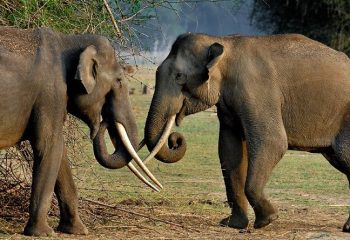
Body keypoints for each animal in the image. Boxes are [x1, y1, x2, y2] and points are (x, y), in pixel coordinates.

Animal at [0, 27, 161, 236]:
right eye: (118, 81)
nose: (104, 120)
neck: (69, 40)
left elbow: (60, 153)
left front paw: (77, 230)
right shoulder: (50, 93)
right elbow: (49, 145)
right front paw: (43, 233)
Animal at [142, 32, 350, 232]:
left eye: (179, 76)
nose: (174, 139)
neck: (224, 43)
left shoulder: (258, 92)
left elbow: (272, 142)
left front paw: (267, 220)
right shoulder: (228, 104)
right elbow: (229, 151)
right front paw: (234, 224)